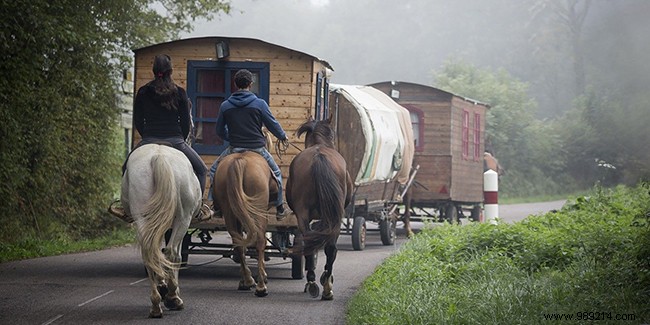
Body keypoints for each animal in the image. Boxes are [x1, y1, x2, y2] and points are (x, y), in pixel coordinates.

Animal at [120, 143, 201, 318]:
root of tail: (159, 156)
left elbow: (158, 253)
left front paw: (162, 285)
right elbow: (172, 255)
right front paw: (170, 291)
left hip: (142, 218)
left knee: (149, 253)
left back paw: (156, 304)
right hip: (183, 219)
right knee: (172, 254)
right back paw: (172, 298)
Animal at [211, 150, 274, 296]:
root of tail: (240, 161)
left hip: (229, 210)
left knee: (237, 241)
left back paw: (248, 281)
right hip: (258, 211)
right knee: (260, 241)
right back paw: (261, 286)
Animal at [286, 116, 352, 298]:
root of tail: (319, 156)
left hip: (304, 215)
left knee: (312, 242)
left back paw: (313, 282)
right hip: (333, 217)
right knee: (329, 248)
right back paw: (325, 285)